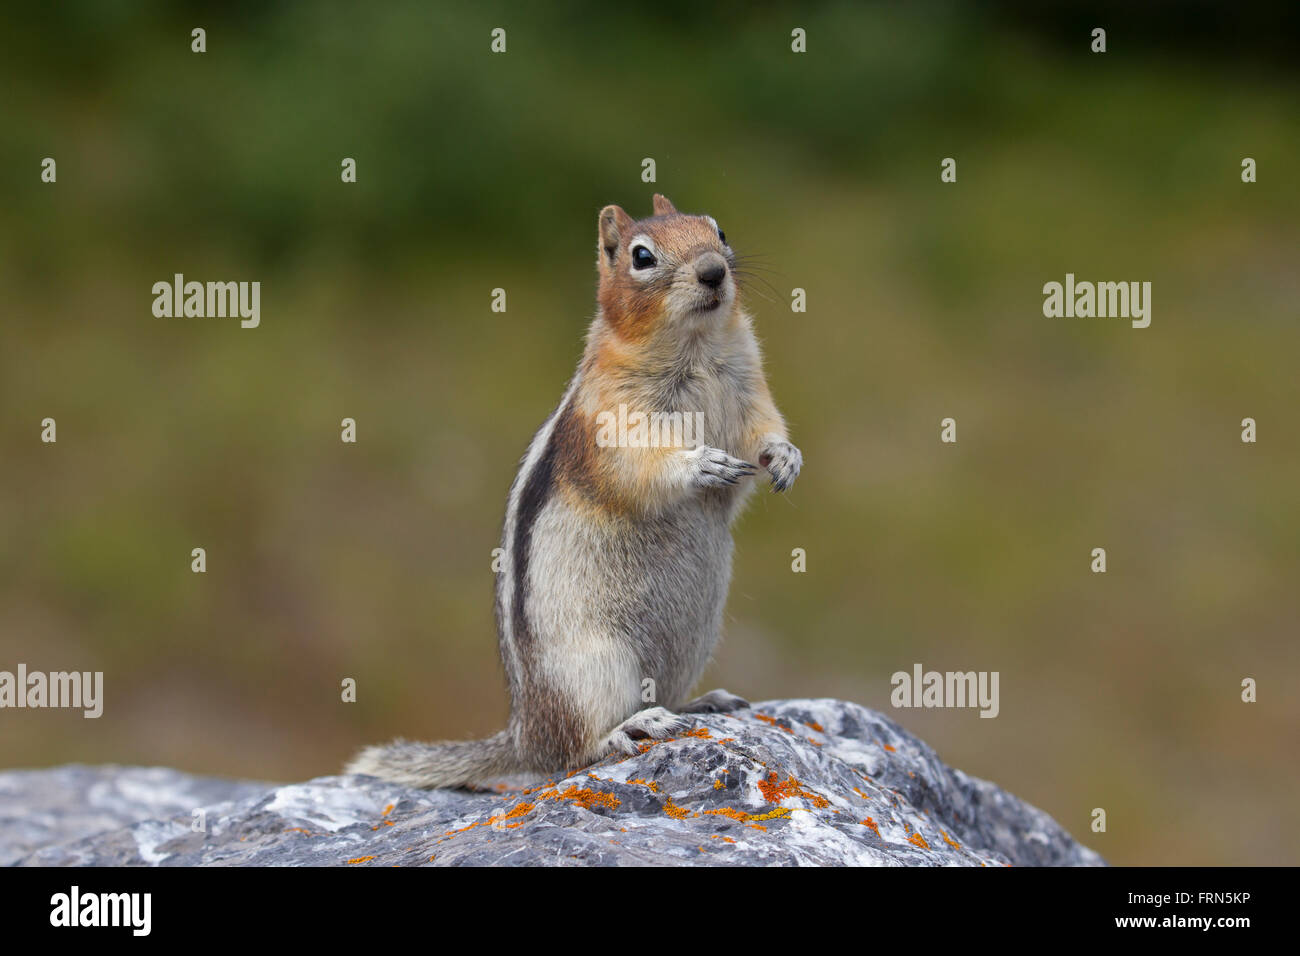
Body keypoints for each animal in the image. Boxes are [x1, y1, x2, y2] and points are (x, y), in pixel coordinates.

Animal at [351, 192, 806, 785]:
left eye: (719, 230)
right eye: (641, 256)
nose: (713, 270)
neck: (696, 346)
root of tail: (524, 735)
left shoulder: (751, 391)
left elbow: (764, 429)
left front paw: (786, 458)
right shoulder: (608, 421)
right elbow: (639, 466)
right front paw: (699, 463)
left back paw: (703, 702)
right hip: (594, 670)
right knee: (573, 751)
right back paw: (630, 728)